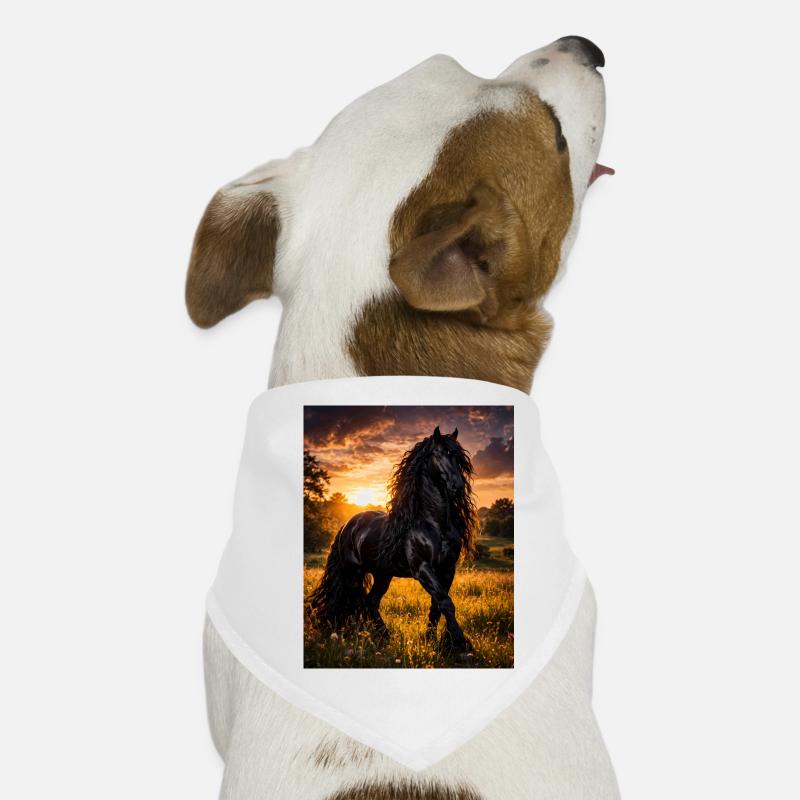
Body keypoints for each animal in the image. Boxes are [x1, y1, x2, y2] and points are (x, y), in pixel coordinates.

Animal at [307, 426, 477, 653]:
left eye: (458, 458)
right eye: (438, 454)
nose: (457, 486)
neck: (433, 524)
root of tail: (347, 525)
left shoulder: (447, 568)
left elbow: (438, 605)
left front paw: (435, 642)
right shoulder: (422, 568)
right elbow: (446, 602)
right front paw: (459, 644)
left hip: (383, 575)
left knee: (370, 601)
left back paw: (384, 636)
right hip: (353, 573)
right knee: (350, 600)